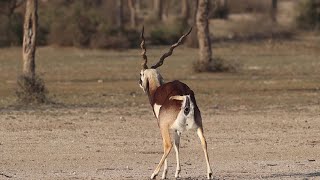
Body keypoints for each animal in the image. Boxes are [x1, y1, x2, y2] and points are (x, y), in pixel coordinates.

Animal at [139, 27, 214, 180]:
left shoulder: (162, 125)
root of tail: (184, 94)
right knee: (204, 142)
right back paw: (209, 173)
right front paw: (177, 172)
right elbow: (178, 145)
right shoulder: (176, 128)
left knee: (167, 145)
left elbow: (170, 145)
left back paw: (154, 173)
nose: (139, 83)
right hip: (199, 125)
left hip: (164, 126)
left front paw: (165, 173)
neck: (156, 91)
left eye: (140, 74)